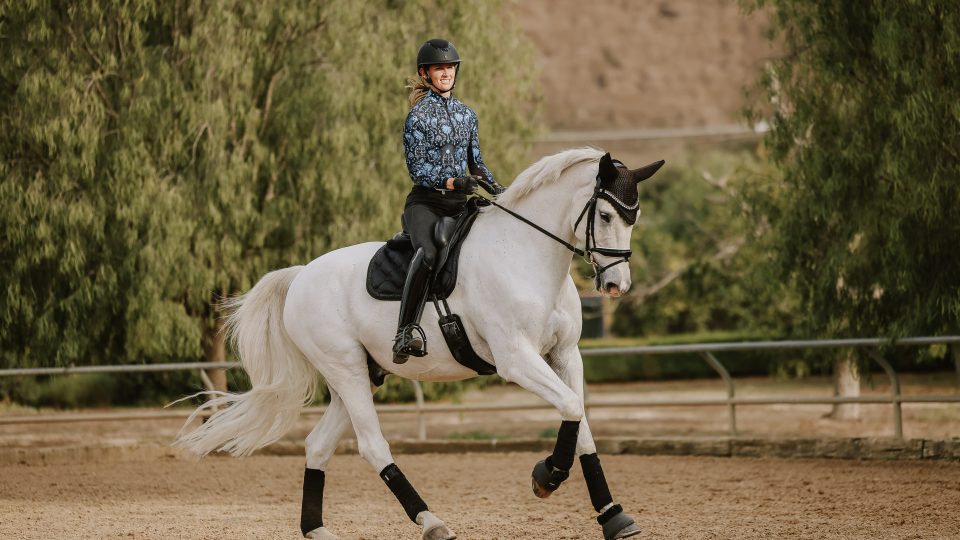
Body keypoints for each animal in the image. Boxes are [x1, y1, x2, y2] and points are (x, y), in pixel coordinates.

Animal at [175, 147, 664, 539]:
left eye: (634, 218)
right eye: (605, 216)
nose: (617, 285)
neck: (523, 253)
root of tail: (300, 276)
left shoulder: (564, 355)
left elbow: (581, 423)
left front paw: (614, 517)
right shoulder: (516, 359)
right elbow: (571, 407)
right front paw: (547, 476)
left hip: (362, 375)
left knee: (317, 445)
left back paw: (316, 528)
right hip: (346, 370)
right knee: (373, 446)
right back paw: (431, 522)